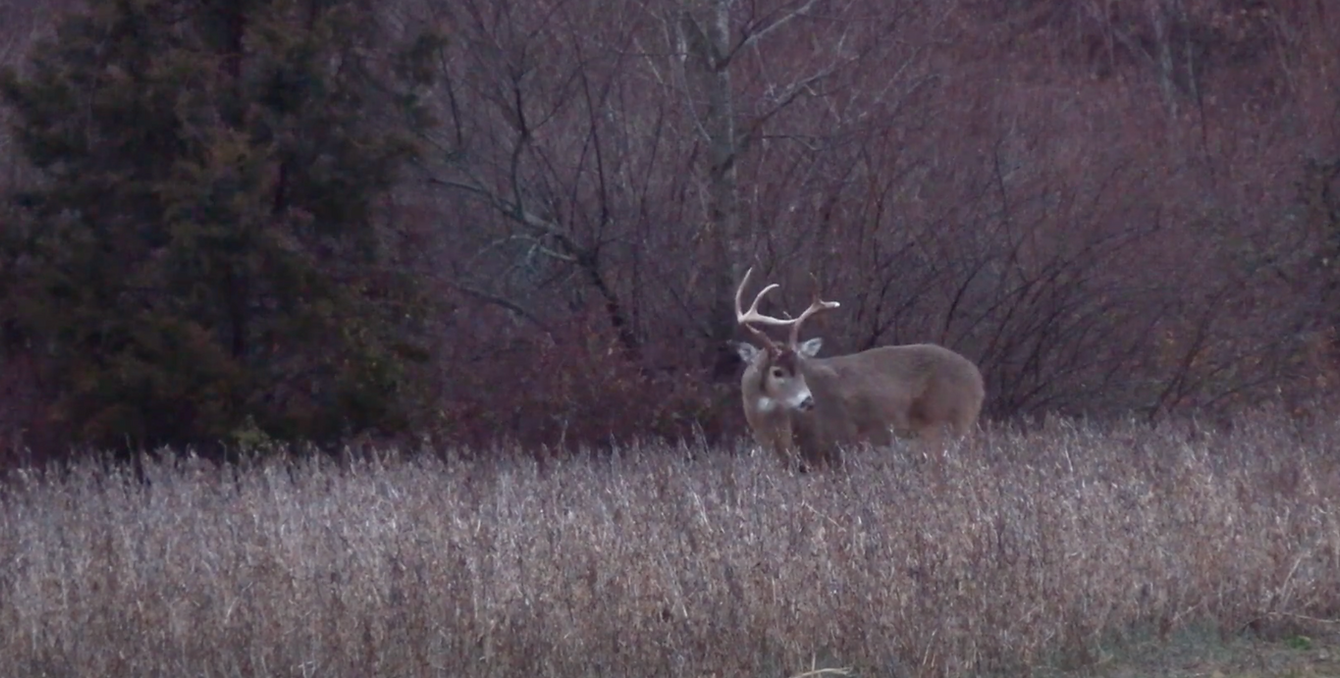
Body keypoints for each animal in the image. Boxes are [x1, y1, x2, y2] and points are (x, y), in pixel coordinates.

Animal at [732, 266, 985, 470]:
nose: (808, 401)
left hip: (949, 424)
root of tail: (978, 379)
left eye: (801, 368)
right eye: (777, 371)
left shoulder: (834, 445)